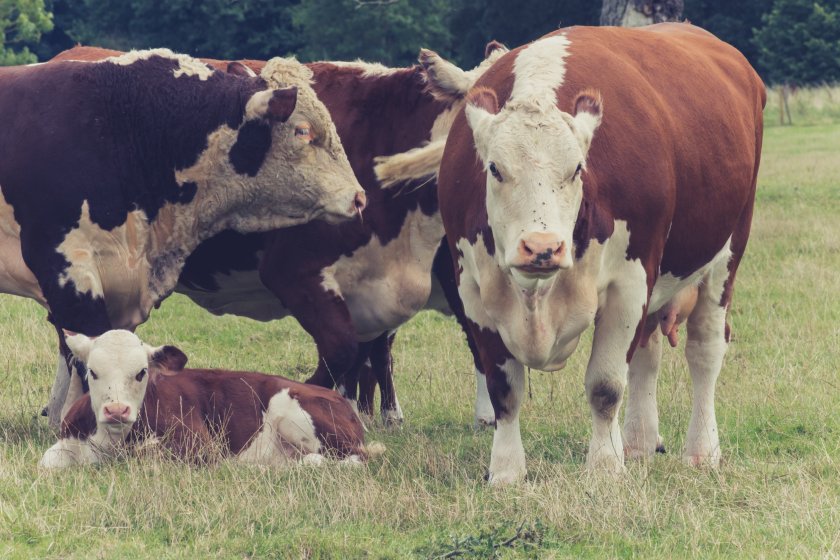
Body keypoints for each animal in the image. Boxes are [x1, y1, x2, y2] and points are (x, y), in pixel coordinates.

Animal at [41, 328, 370, 468]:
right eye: (93, 372)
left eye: (141, 372)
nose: (117, 410)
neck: (111, 441)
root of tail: (338, 397)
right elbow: (47, 460)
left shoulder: (201, 446)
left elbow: (149, 453)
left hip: (293, 414)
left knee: (349, 458)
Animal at [436, 24, 764, 484]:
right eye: (495, 168)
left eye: (577, 168)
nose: (542, 247)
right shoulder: (473, 291)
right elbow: (504, 391)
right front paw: (506, 472)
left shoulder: (630, 282)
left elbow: (605, 385)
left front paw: (605, 467)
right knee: (647, 355)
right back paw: (639, 443)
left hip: (725, 255)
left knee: (705, 351)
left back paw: (702, 450)